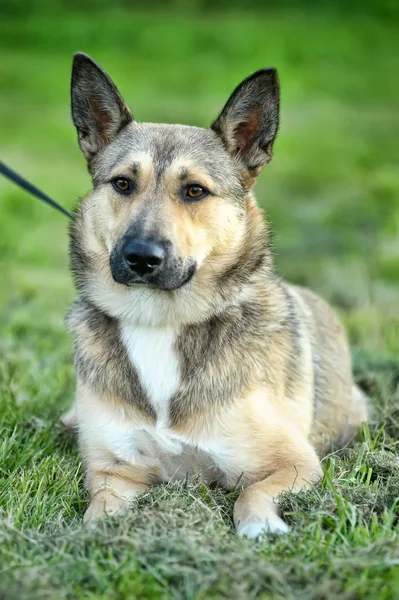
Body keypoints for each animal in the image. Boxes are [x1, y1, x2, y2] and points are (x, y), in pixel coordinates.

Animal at [64, 52, 370, 540]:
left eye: (195, 190)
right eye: (122, 184)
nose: (140, 257)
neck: (160, 321)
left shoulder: (295, 462)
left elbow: (253, 493)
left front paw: (260, 526)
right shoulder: (112, 472)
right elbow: (98, 513)